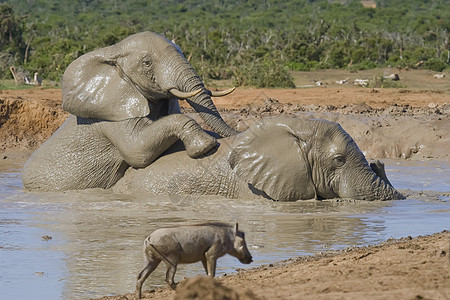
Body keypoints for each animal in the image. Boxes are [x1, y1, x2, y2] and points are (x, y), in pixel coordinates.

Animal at [22, 31, 237, 191]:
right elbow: (137, 150)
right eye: (147, 63)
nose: (237, 132)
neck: (113, 51)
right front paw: (205, 146)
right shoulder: (111, 115)